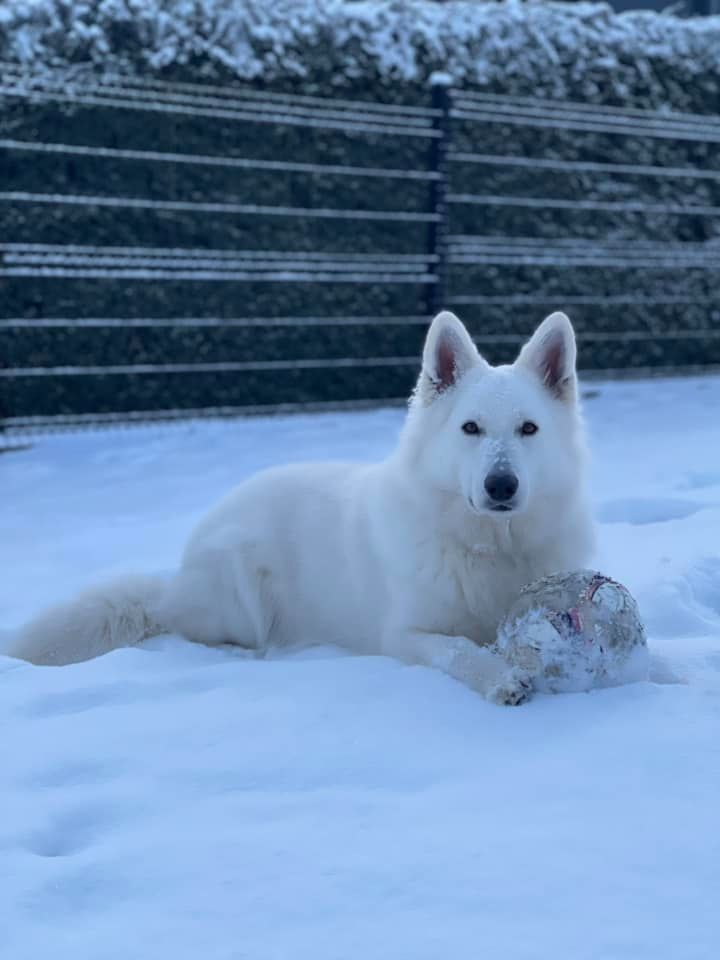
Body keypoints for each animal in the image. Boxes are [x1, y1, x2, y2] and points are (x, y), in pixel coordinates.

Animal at [9, 312, 596, 700]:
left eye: (528, 429)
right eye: (470, 428)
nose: (501, 486)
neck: (491, 548)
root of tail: (175, 580)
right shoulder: (405, 635)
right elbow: (460, 650)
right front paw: (501, 678)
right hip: (240, 587)